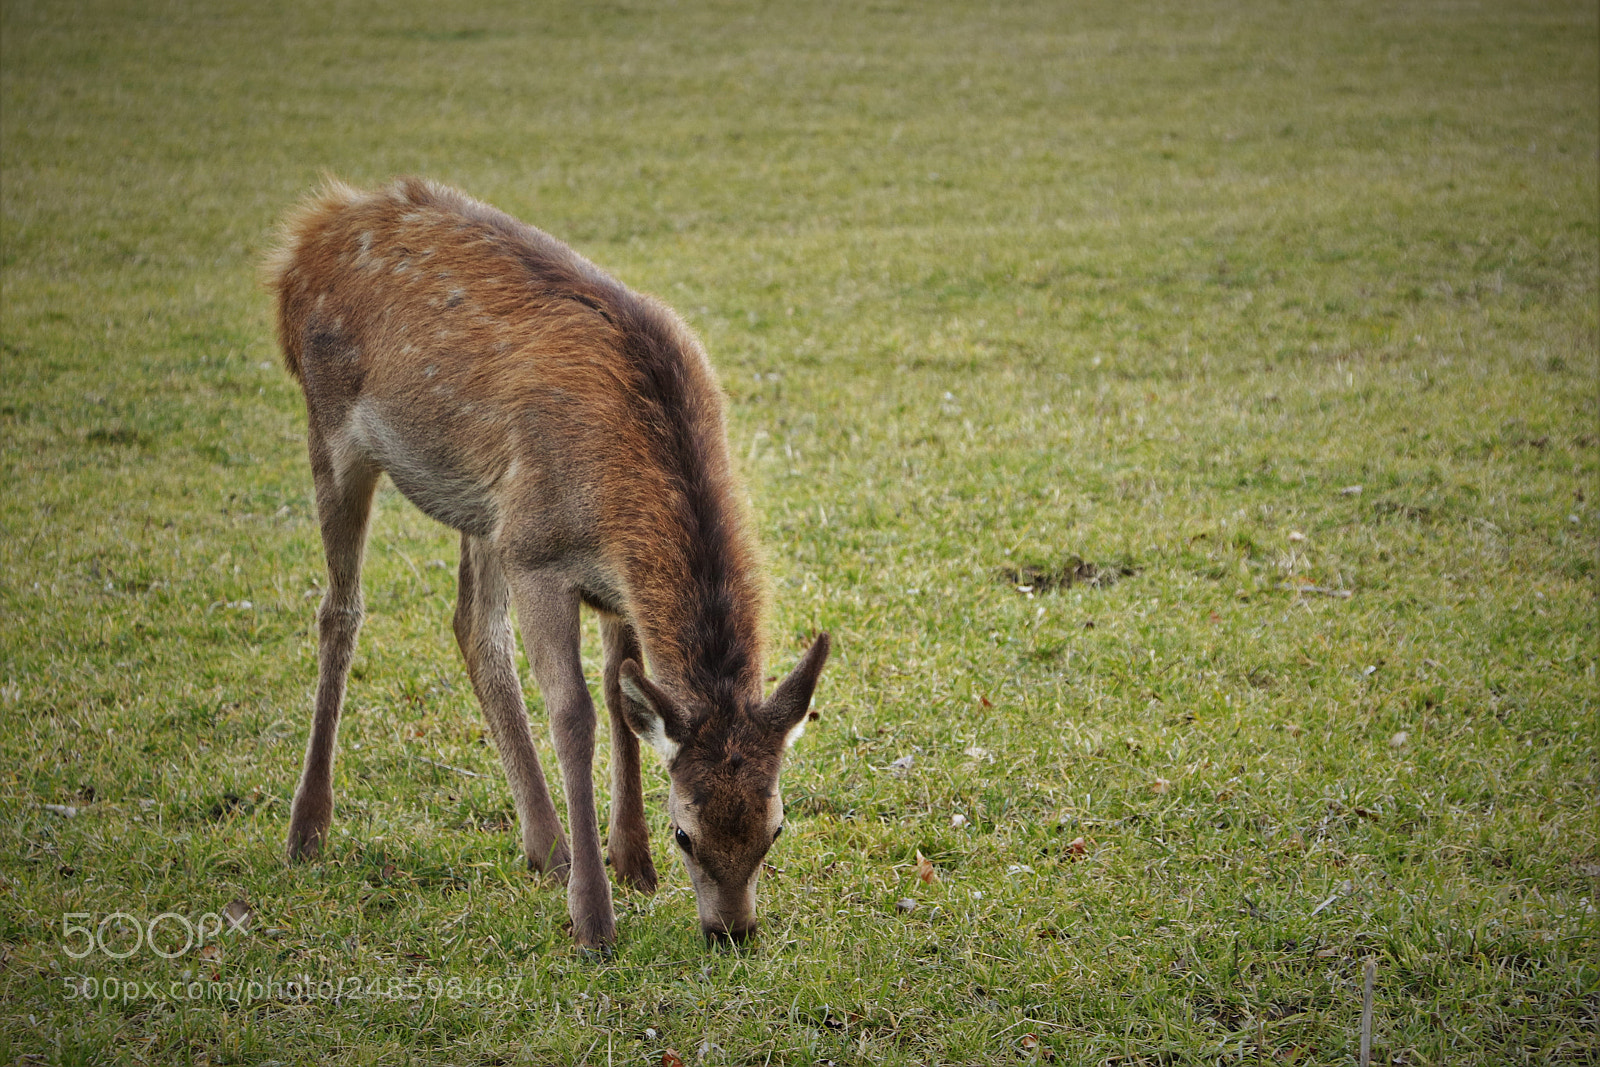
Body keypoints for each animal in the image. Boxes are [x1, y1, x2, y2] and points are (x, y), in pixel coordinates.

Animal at [264, 177, 830, 950]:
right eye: (686, 835)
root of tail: (303, 241)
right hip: (332, 426)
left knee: (471, 625)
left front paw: (631, 862)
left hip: (488, 510)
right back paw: (308, 828)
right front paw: (593, 918)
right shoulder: (539, 557)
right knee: (340, 610)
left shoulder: (611, 582)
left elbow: (624, 702)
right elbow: (576, 713)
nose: (731, 931)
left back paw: (545, 845)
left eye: (774, 829)